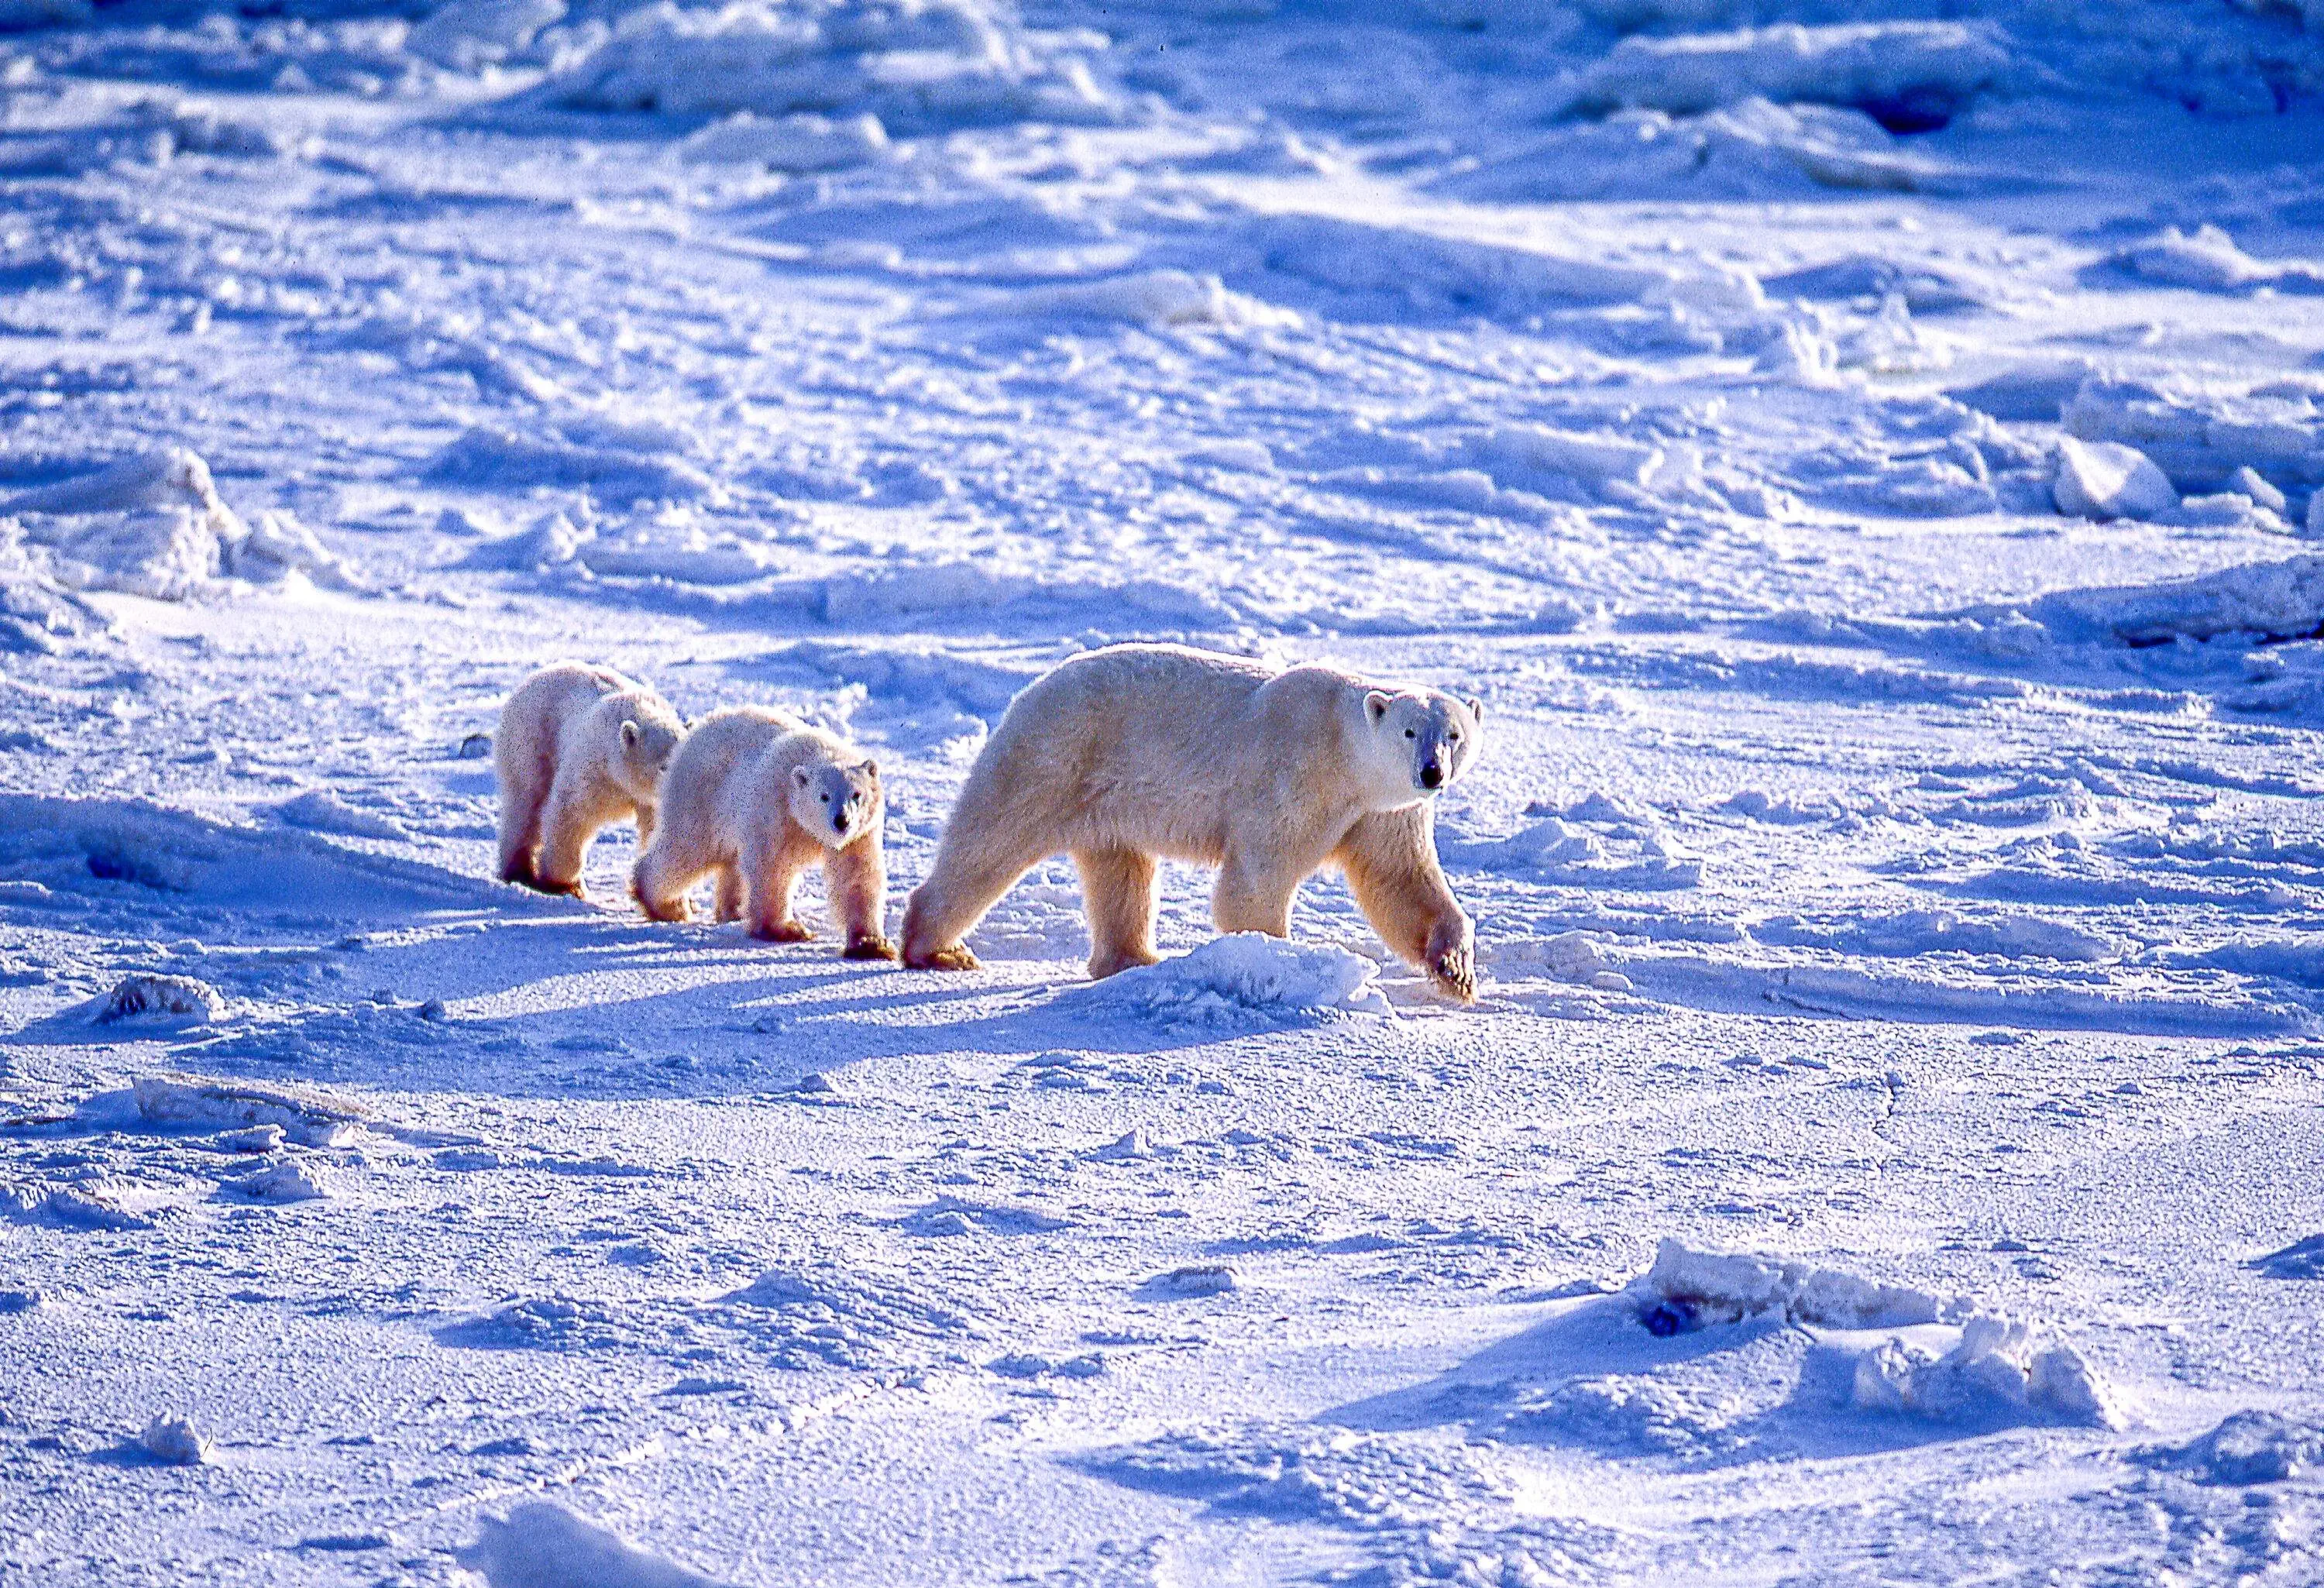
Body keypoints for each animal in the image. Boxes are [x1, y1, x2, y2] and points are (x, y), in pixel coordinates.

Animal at [496, 661, 685, 898]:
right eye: (664, 766)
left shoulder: (649, 800)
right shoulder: (594, 770)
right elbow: (571, 814)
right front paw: (567, 885)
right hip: (532, 742)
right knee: (527, 803)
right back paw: (519, 872)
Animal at [630, 705, 896, 960]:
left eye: (857, 794)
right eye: (824, 796)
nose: (842, 821)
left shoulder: (860, 834)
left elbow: (857, 874)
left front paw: (871, 945)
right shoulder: (777, 811)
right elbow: (773, 866)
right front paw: (785, 929)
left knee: (727, 861)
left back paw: (732, 910)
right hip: (701, 797)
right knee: (686, 851)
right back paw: (665, 904)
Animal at [900, 643, 1486, 999]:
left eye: (1453, 734)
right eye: (1410, 731)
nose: (1432, 771)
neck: (1344, 750)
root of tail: (1028, 692)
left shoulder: (1384, 813)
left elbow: (1401, 881)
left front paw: (1455, 969)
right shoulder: (1293, 774)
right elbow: (1257, 879)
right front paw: (1276, 956)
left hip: (1106, 803)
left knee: (1121, 873)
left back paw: (1133, 958)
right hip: (1055, 758)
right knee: (990, 842)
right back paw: (939, 948)